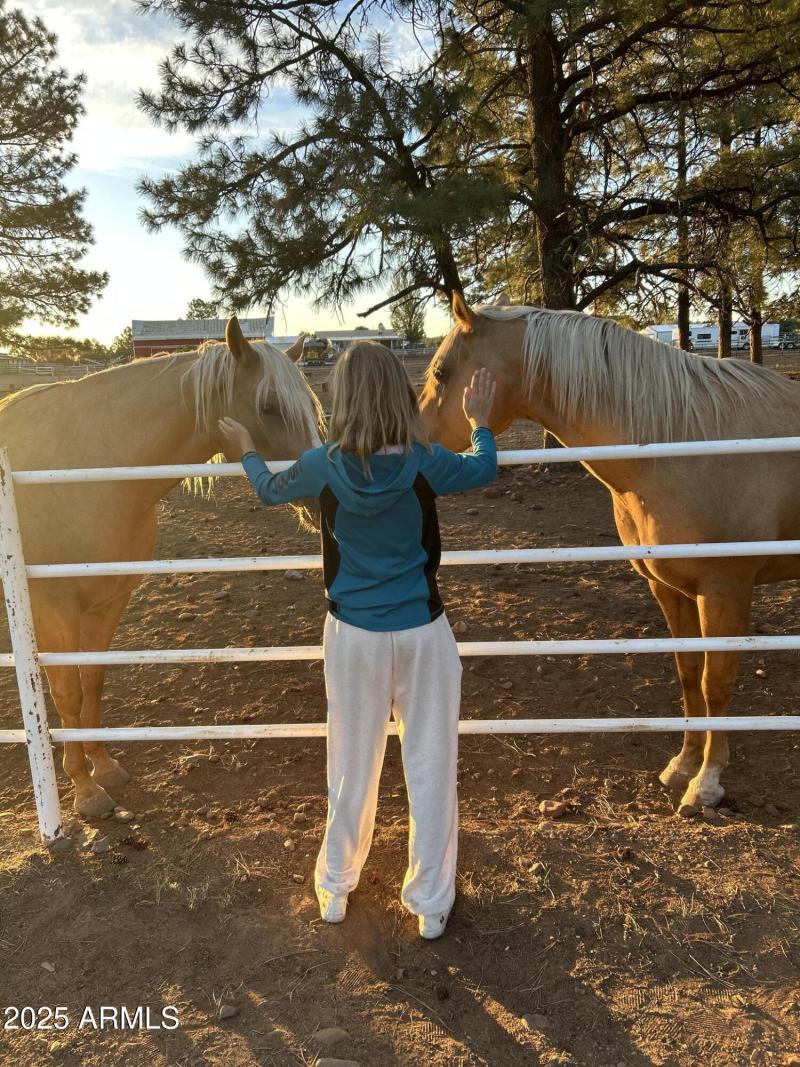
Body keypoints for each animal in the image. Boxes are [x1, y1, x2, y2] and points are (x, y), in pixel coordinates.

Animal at [0, 319, 324, 816]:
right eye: (269, 407)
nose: (326, 494)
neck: (85, 470)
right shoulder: (53, 608)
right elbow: (68, 692)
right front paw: (84, 789)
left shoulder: (109, 599)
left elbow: (92, 680)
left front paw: (103, 767)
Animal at [418, 292, 800, 815]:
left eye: (441, 373)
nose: (407, 445)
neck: (679, 445)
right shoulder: (667, 588)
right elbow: (687, 675)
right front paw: (683, 765)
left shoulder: (726, 592)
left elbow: (715, 683)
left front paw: (707, 783)